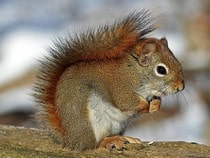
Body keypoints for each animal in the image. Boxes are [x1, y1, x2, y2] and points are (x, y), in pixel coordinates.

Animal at [33, 9, 185, 151]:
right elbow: (127, 103)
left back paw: (125, 138)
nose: (180, 87)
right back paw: (110, 141)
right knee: (94, 144)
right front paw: (146, 106)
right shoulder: (121, 86)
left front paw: (156, 105)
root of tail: (70, 139)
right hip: (91, 122)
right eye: (161, 70)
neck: (136, 73)